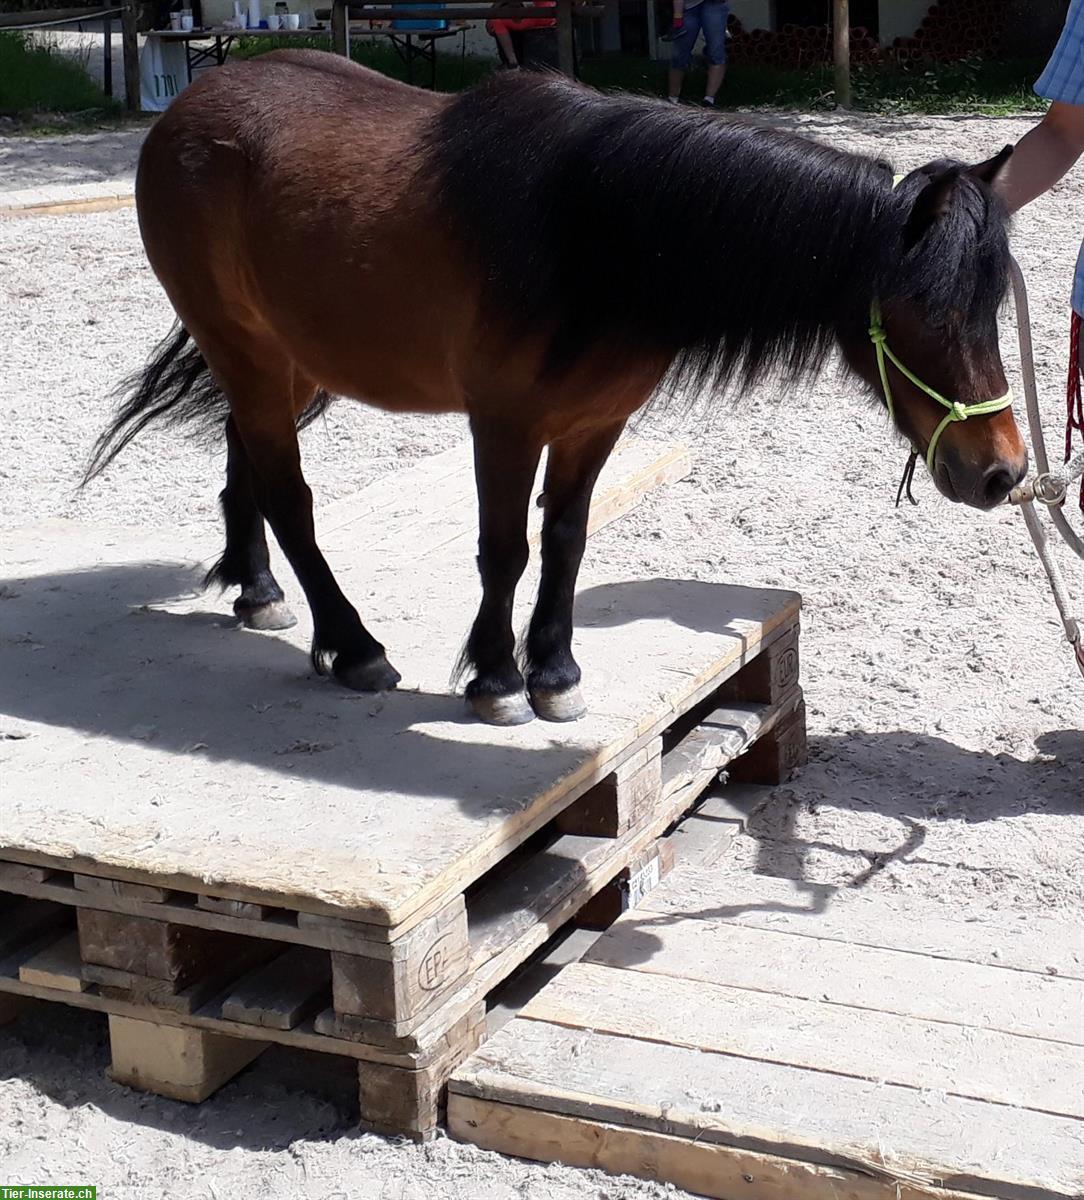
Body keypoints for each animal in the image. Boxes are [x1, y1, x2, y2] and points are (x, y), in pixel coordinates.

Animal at [87, 49, 1027, 720]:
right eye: (925, 309)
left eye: (993, 303)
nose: (1003, 471)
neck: (596, 235)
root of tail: (191, 104)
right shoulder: (503, 424)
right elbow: (505, 548)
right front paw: (497, 680)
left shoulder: (592, 424)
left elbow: (566, 540)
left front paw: (554, 670)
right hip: (244, 348)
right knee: (290, 495)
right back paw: (352, 646)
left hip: (278, 360)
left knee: (245, 455)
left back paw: (258, 591)